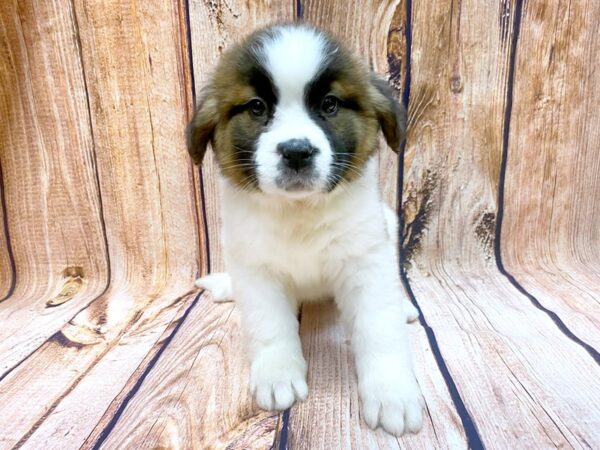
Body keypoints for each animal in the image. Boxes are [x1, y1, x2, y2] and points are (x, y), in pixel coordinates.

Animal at [188, 22, 422, 434]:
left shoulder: (366, 263)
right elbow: (270, 328)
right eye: (257, 107)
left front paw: (392, 390)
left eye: (329, 105)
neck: (299, 212)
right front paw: (277, 374)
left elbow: (380, 328)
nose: (296, 151)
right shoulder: (257, 272)